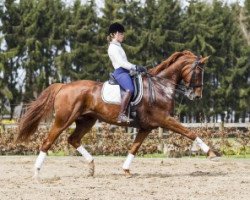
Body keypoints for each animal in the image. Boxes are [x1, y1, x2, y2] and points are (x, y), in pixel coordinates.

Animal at [16, 50, 218, 178]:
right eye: (198, 72)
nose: (197, 95)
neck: (161, 86)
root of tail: (63, 86)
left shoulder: (146, 127)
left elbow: (134, 147)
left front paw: (126, 170)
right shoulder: (164, 119)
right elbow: (189, 132)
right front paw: (210, 153)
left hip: (87, 121)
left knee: (73, 140)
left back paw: (91, 166)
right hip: (63, 120)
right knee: (47, 141)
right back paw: (36, 173)